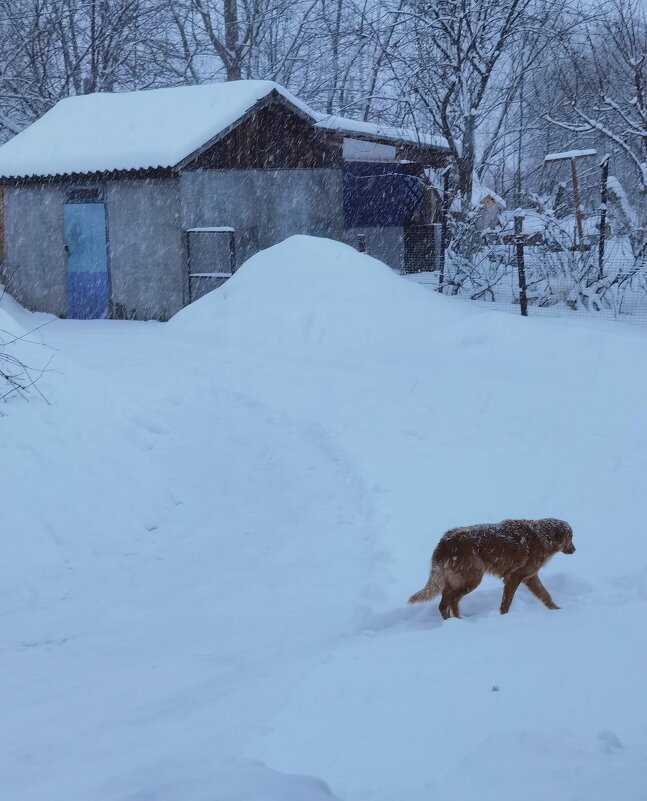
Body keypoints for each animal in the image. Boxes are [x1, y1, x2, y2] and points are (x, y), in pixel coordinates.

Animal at [410, 520, 576, 620]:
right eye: (571, 537)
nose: (574, 550)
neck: (542, 536)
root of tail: (444, 542)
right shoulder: (514, 577)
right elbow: (506, 603)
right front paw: (504, 618)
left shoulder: (530, 578)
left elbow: (545, 595)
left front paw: (557, 610)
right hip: (472, 578)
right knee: (445, 604)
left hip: (459, 580)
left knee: (451, 601)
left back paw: (459, 621)